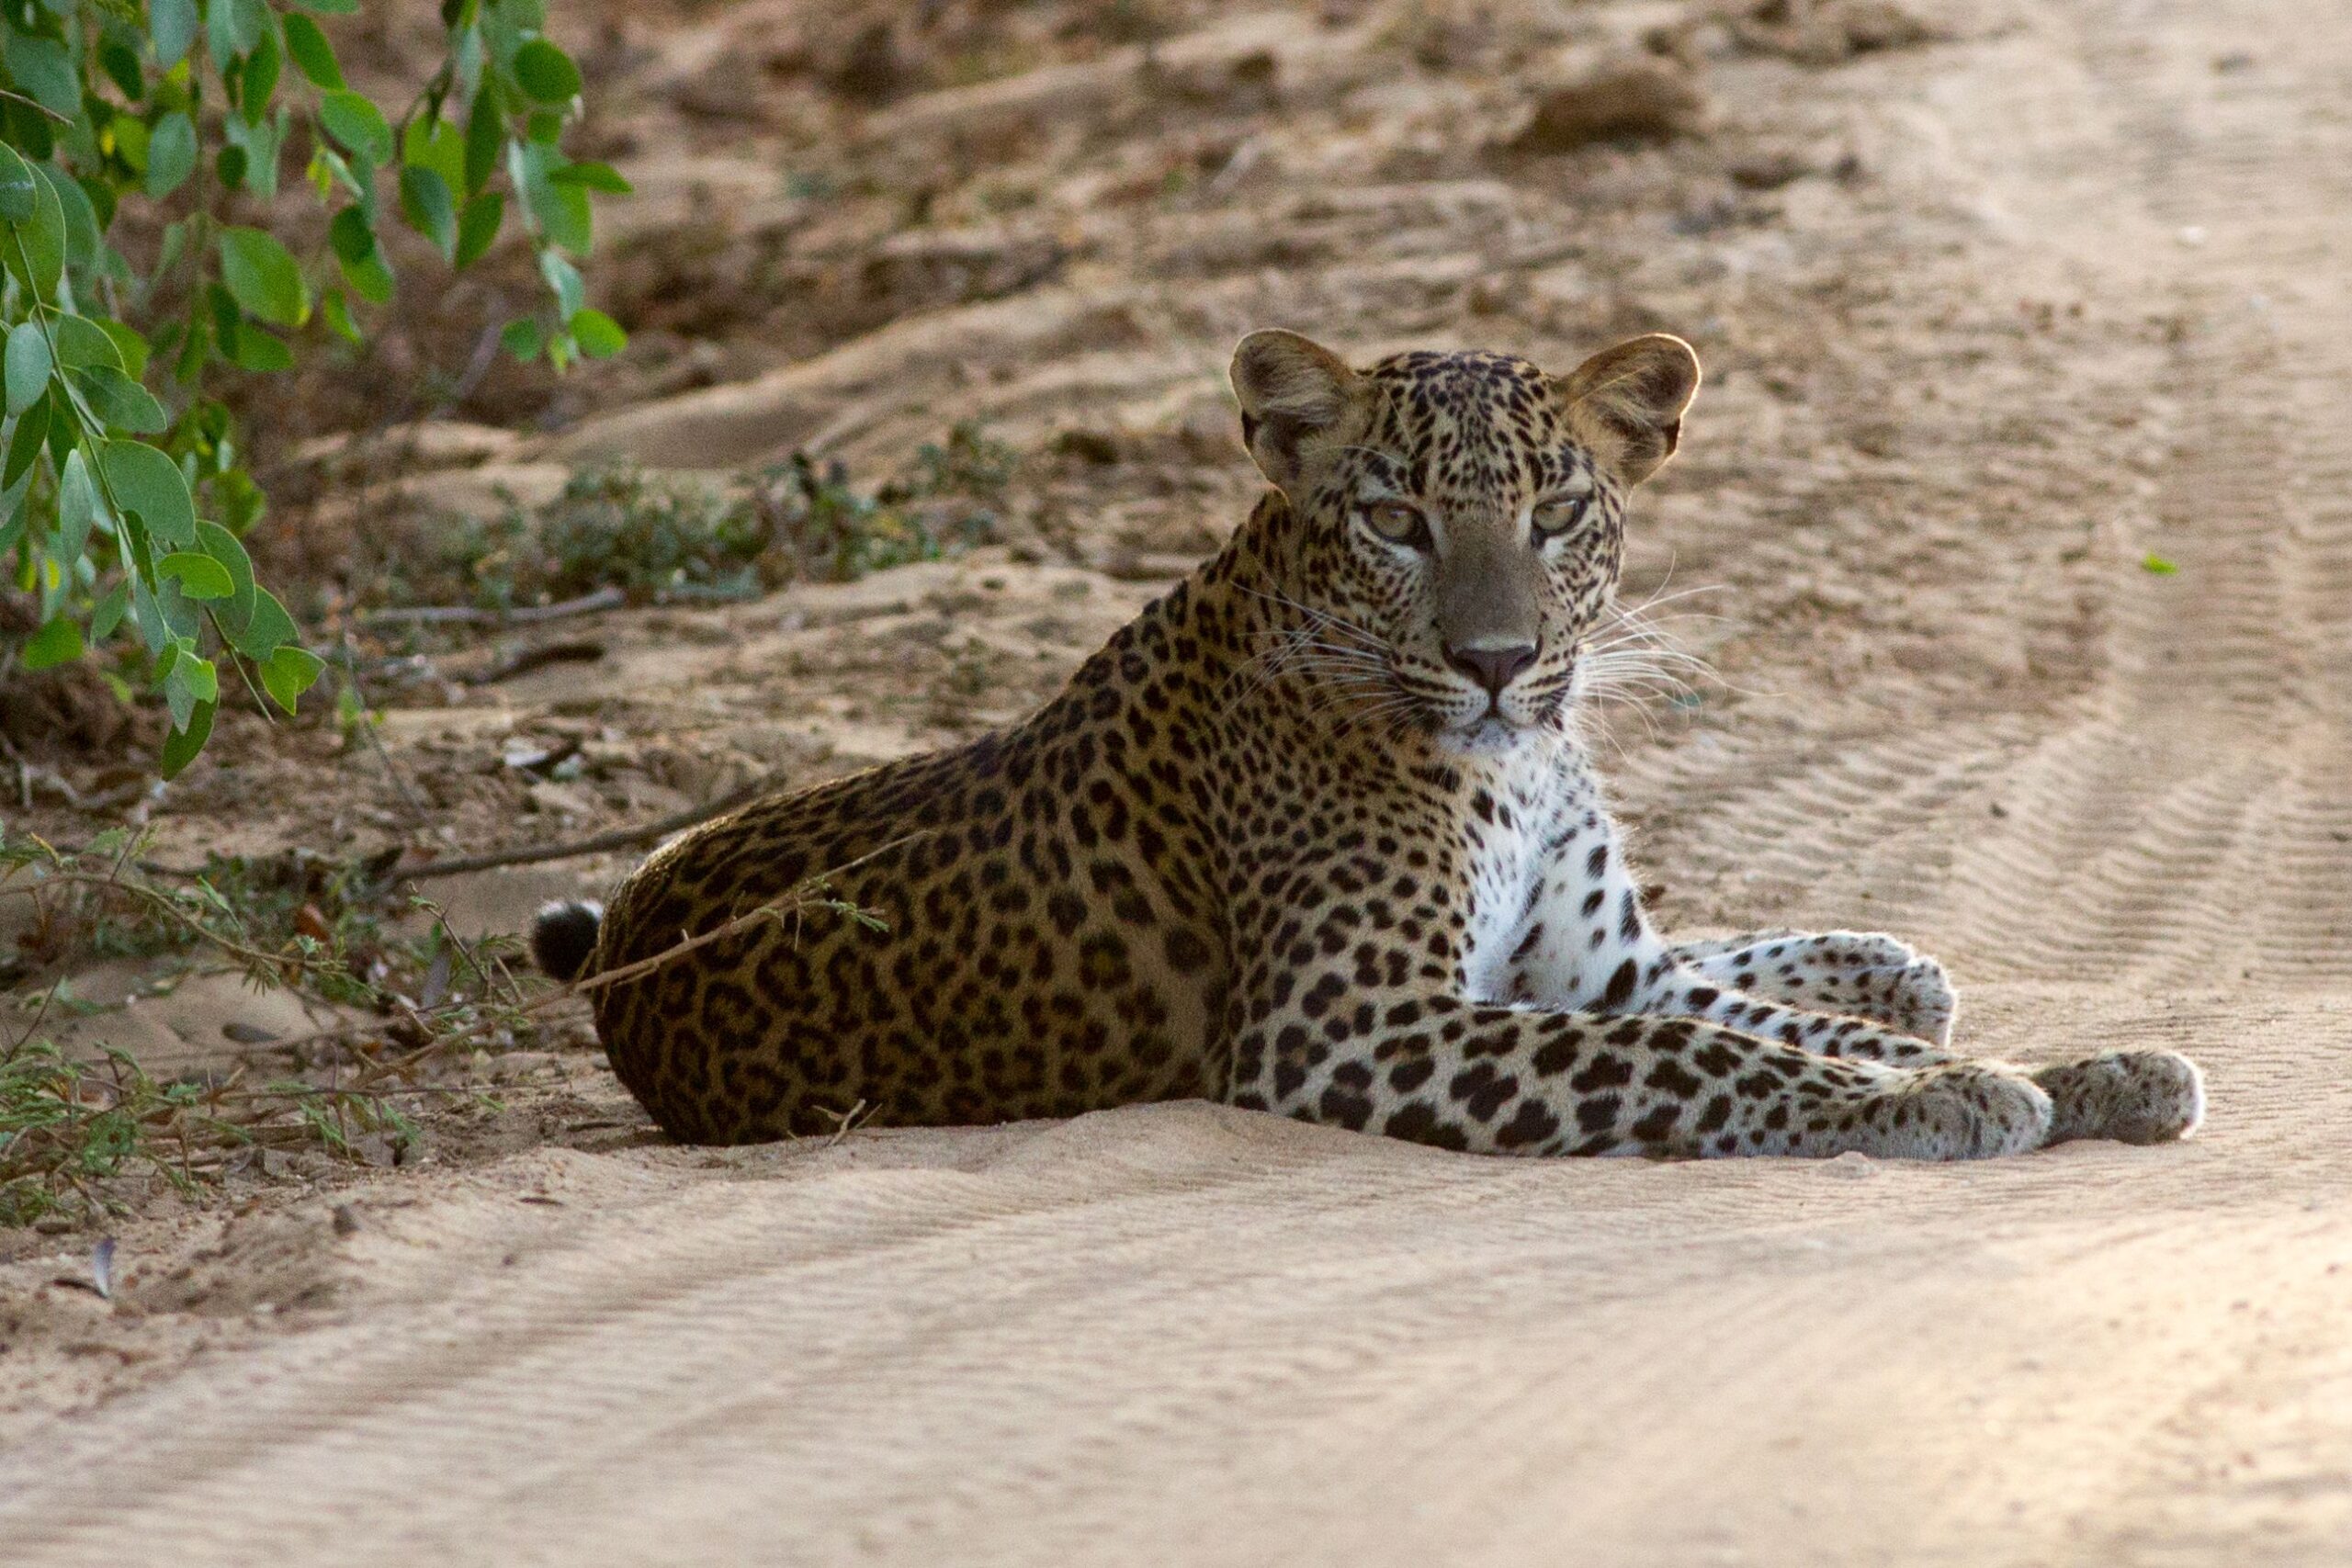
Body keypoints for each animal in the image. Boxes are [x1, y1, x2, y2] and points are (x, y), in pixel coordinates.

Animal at [538, 331, 2201, 1161]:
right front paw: (1943, 1100)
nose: (1497, 662)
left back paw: (1888, 964)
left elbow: (1746, 1021)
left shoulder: (1587, 966)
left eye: (1557, 513)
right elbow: (1701, 1050)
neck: (1524, 765)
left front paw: (2086, 1068)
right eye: (1397, 520)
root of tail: (626, 922)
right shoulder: (1348, 1018)